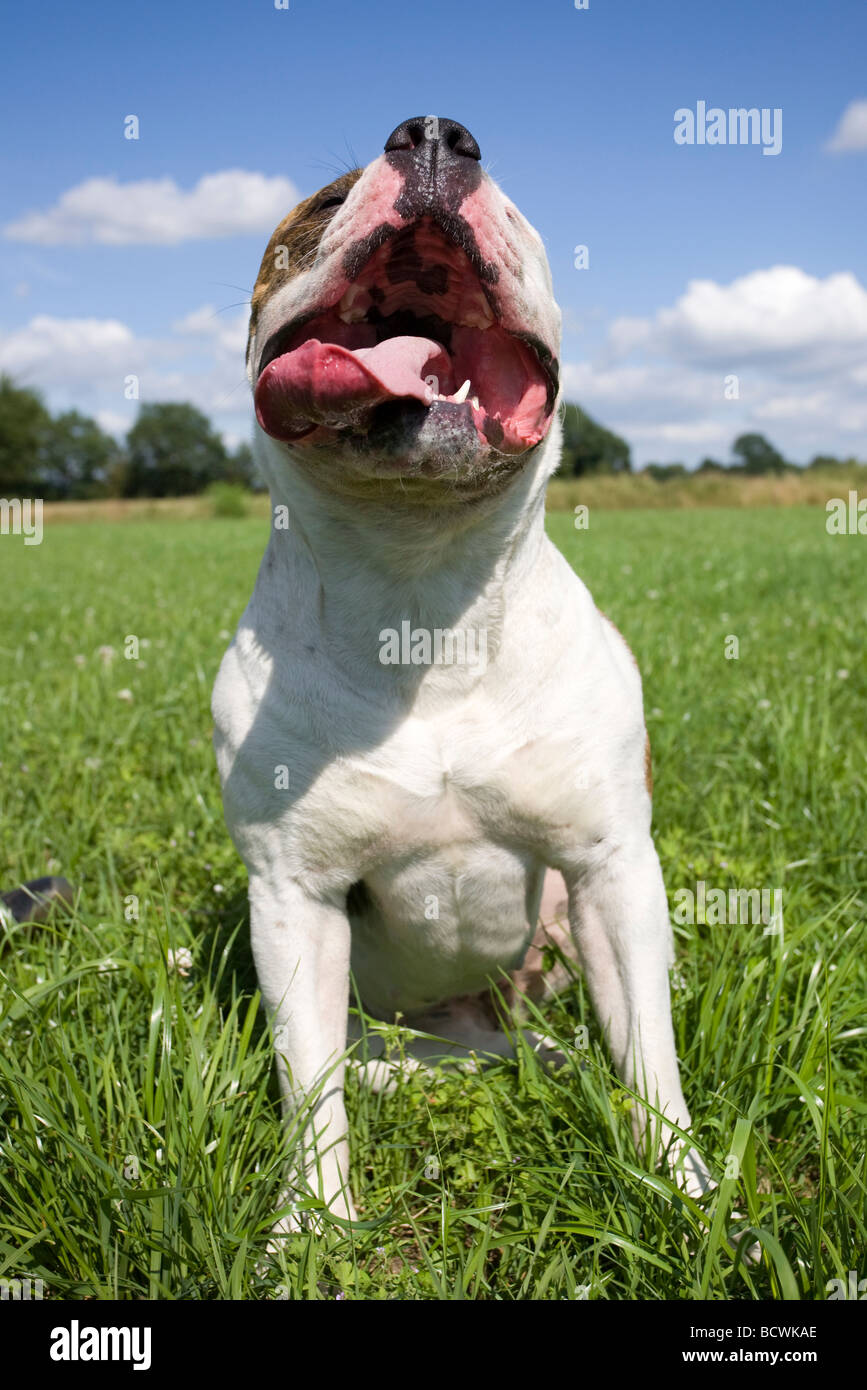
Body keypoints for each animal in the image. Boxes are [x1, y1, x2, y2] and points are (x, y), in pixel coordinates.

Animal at [211, 116, 711, 1228]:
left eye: (517, 214)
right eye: (323, 204)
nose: (436, 137)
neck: (420, 592)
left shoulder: (611, 871)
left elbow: (651, 1057)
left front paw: (687, 1192)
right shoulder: (294, 898)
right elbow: (309, 1084)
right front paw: (312, 1228)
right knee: (381, 1059)